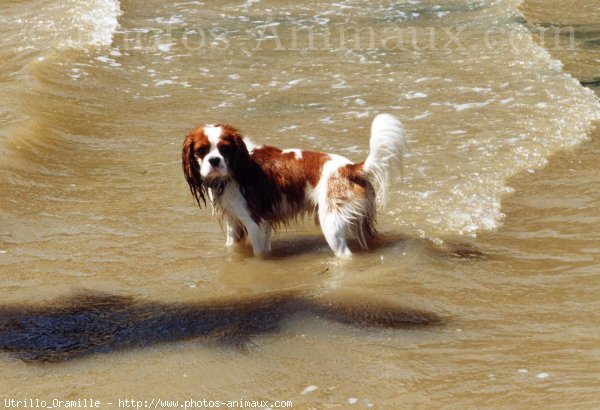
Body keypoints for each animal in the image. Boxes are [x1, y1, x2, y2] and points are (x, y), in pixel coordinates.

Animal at [180, 113, 406, 258]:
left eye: (225, 149)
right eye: (201, 151)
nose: (214, 160)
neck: (236, 169)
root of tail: (350, 168)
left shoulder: (256, 224)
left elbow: (260, 254)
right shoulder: (234, 223)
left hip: (331, 223)